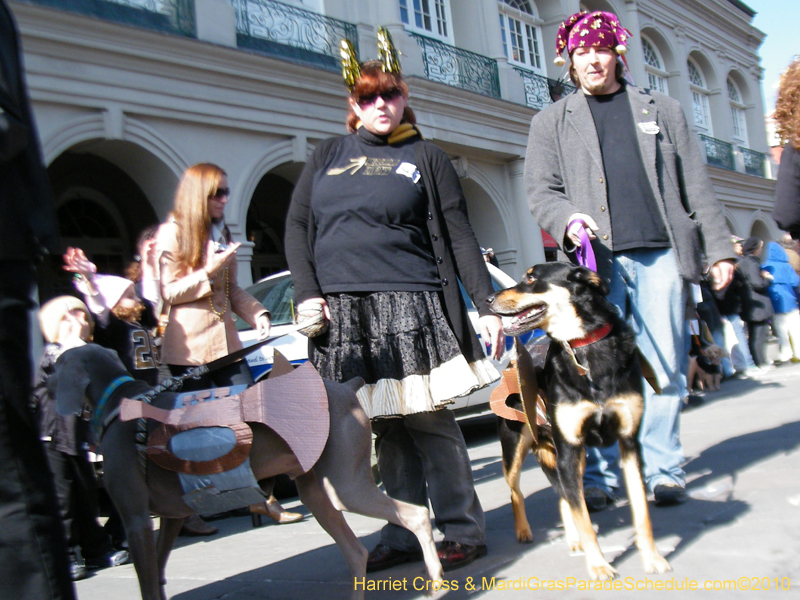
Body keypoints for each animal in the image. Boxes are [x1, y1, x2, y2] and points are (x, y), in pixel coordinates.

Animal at [488, 262, 668, 580]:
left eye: (531, 279)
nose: (487, 299)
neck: (583, 346)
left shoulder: (627, 443)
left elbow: (640, 512)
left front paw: (652, 557)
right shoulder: (568, 450)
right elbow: (583, 517)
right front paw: (598, 565)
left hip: (573, 456)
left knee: (564, 498)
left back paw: (573, 539)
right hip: (516, 451)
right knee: (516, 492)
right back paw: (524, 531)